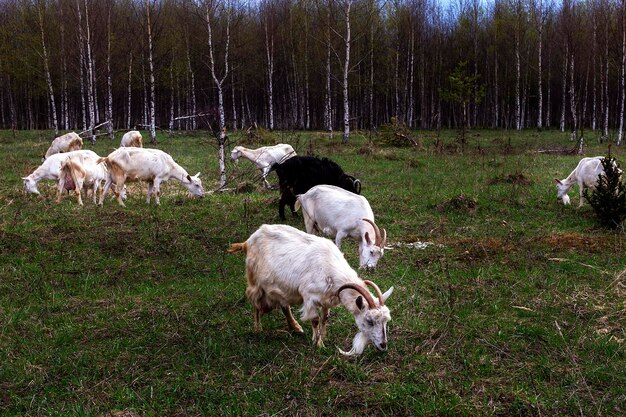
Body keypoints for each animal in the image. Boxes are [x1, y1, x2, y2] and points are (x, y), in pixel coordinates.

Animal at [227, 223, 392, 356]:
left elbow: (325, 318)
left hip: (282, 287)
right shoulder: (309, 297)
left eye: (386, 321)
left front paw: (322, 336)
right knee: (255, 302)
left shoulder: (327, 299)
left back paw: (295, 327)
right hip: (256, 281)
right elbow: (315, 319)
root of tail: (247, 242)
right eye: (369, 321)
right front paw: (319, 344)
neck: (330, 268)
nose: (383, 345)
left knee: (284, 305)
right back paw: (258, 329)